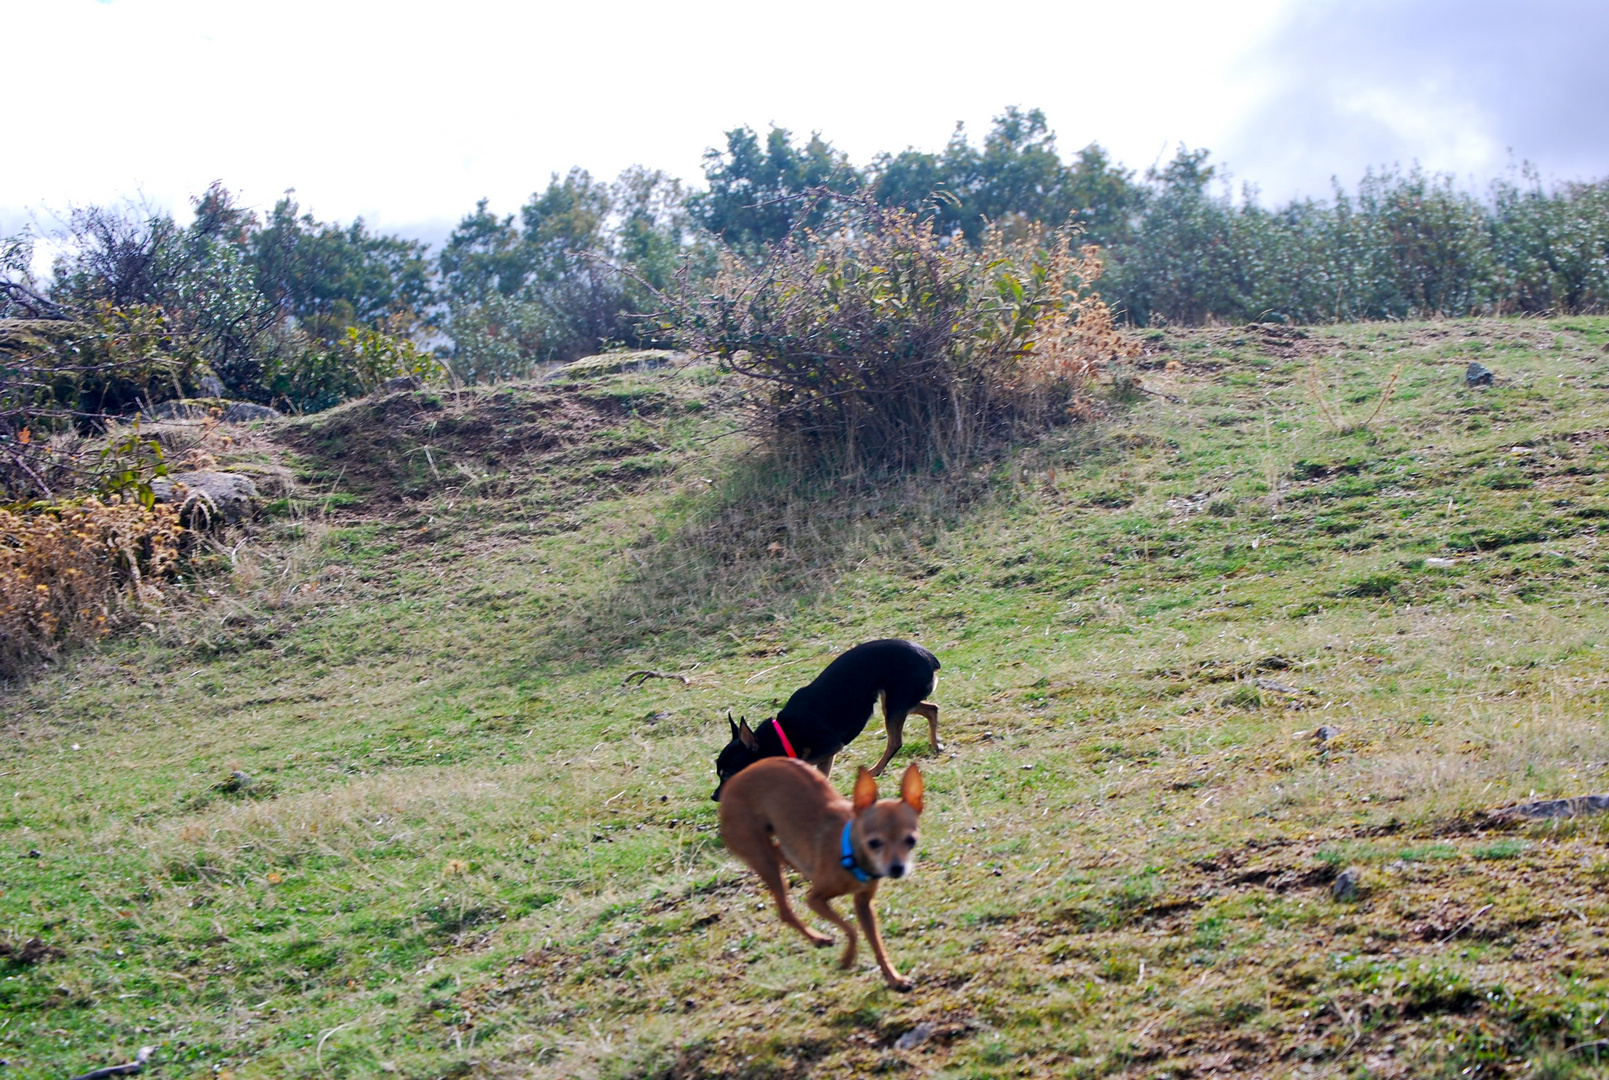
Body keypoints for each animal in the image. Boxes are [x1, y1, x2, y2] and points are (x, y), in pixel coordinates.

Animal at [714, 643, 939, 801]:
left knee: (895, 741)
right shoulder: (828, 755)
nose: (714, 796)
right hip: (898, 702)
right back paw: (935, 745)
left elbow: (802, 765)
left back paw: (875, 770)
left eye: (729, 775)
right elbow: (822, 776)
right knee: (932, 709)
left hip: (894, 703)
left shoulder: (830, 746)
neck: (785, 733)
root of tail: (930, 658)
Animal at [720, 756, 926, 991]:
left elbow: (877, 944)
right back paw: (817, 938)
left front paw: (894, 978)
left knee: (783, 853)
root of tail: (730, 783)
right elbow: (852, 930)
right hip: (763, 859)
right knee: (784, 910)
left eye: (911, 840)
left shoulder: (864, 905)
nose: (896, 868)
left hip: (779, 846)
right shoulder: (815, 900)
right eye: (873, 843)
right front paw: (847, 959)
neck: (851, 851)